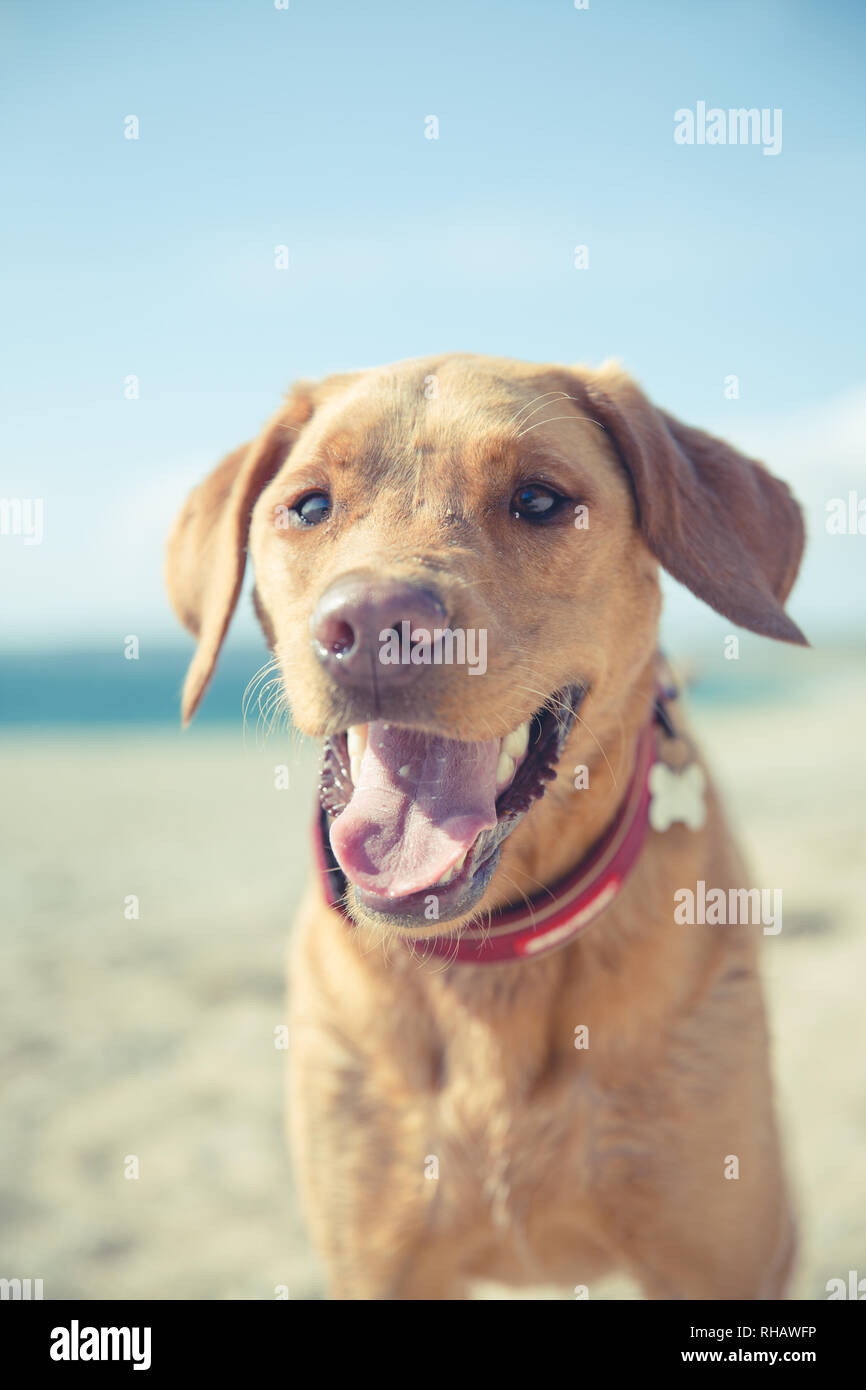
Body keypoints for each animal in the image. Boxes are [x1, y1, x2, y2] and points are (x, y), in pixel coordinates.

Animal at [167, 353, 806, 1295]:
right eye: (310, 506)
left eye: (538, 499)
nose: (372, 625)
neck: (490, 959)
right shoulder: (377, 1264)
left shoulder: (720, 1257)